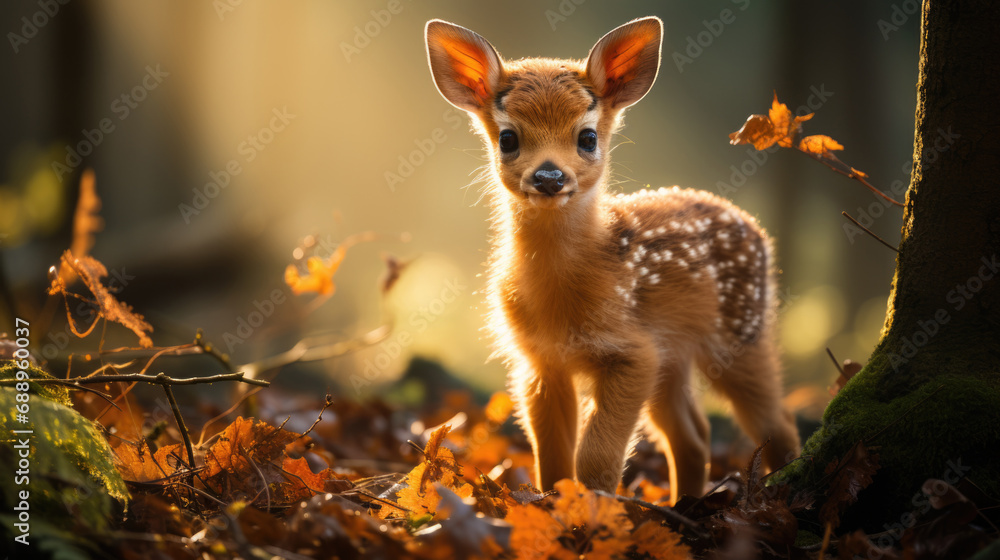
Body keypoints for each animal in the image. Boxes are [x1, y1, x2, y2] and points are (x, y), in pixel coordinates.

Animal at [424, 16, 799, 503]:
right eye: (508, 138)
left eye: (586, 137)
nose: (549, 176)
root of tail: (758, 231)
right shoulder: (540, 360)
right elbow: (552, 457)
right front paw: (557, 506)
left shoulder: (631, 351)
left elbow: (596, 456)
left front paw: (595, 507)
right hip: (674, 354)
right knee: (693, 434)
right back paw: (684, 504)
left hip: (741, 333)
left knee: (775, 422)